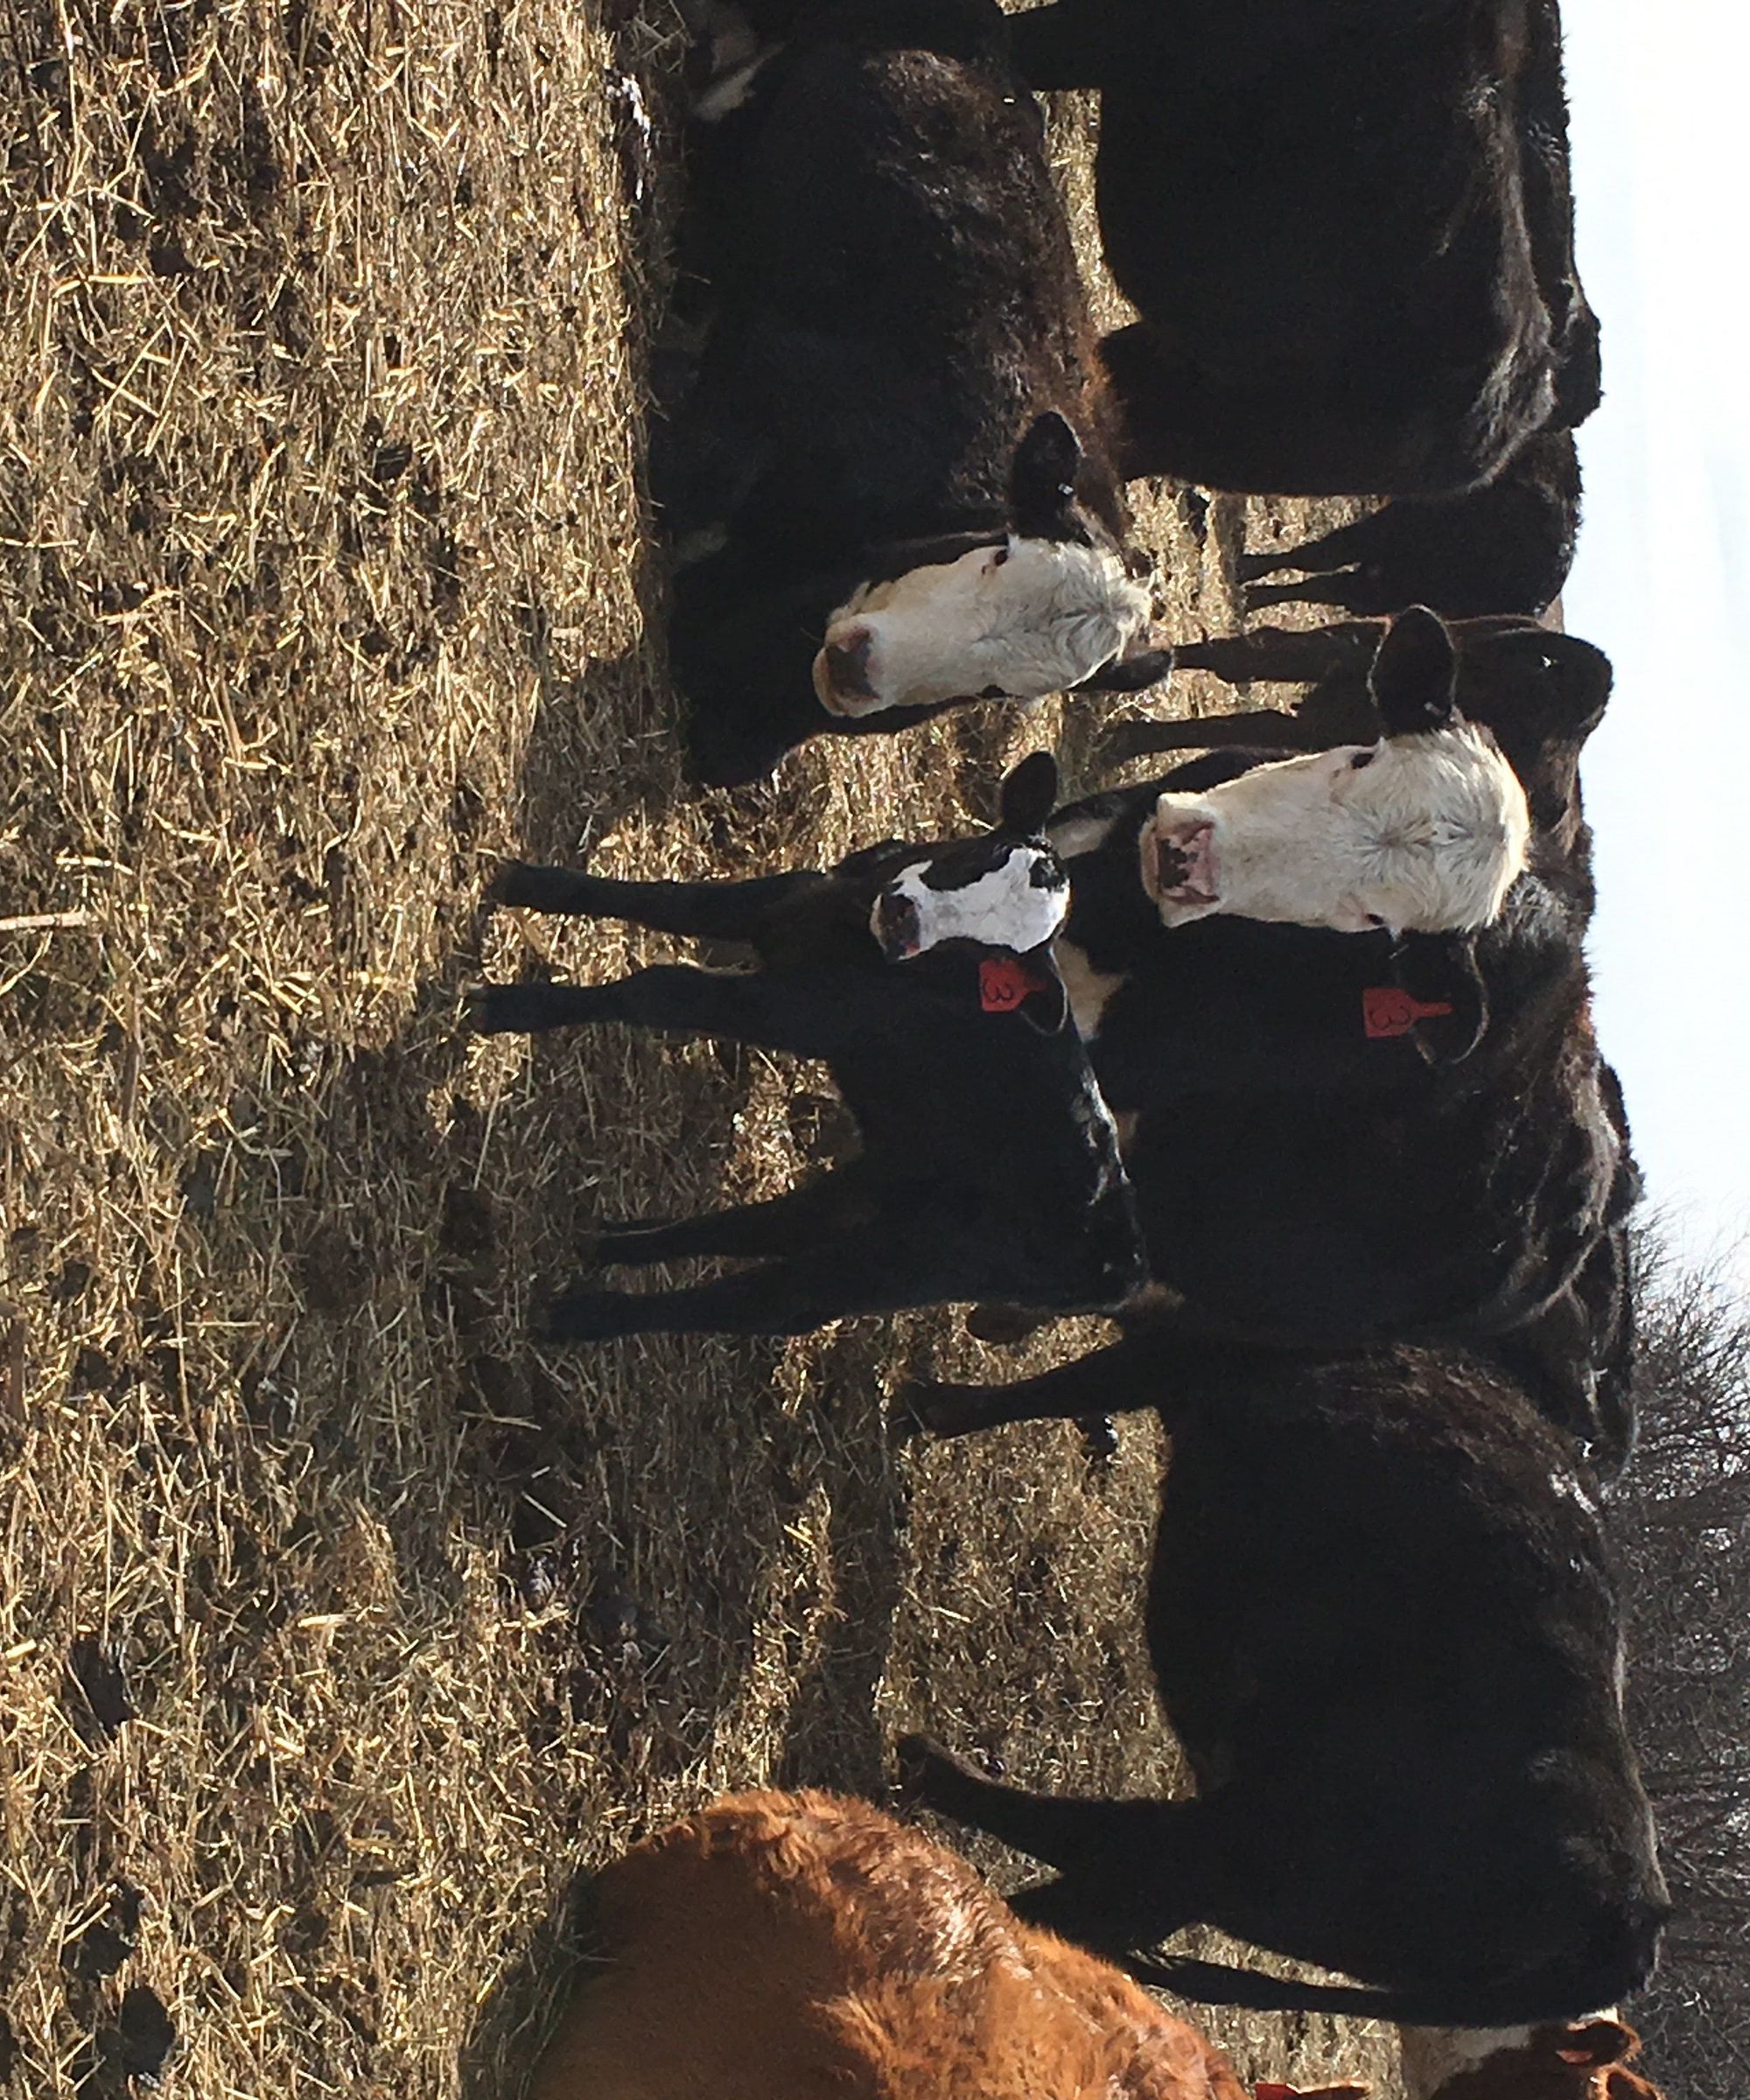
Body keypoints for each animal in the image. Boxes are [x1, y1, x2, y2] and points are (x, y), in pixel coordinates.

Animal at [472, 755, 1147, 1340]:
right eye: (987, 855)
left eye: (995, 950)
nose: (904, 919)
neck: (850, 927)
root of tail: (1126, 1256)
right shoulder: (788, 900)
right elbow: (666, 900)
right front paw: (524, 881)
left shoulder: (813, 1012)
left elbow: (663, 990)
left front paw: (507, 1008)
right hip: (873, 1187)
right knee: (760, 1227)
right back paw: (611, 1240)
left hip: (909, 1259)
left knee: (764, 1305)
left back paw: (582, 1317)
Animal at [899, 1338, 1671, 2028]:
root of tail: (1637, 1917)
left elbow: (1066, 1385)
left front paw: (925, 1400)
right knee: (1092, 1890)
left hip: (1248, 1846)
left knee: (1086, 1854)